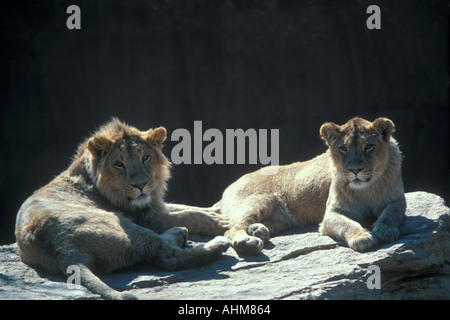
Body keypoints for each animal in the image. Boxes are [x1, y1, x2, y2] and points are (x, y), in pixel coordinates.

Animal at [15, 118, 230, 300]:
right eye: (119, 164)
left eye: (145, 158)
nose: (141, 185)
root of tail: (61, 247)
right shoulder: (149, 218)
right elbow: (192, 215)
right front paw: (223, 222)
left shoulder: (155, 205)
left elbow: (186, 207)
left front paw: (216, 210)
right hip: (122, 225)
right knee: (168, 256)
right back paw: (215, 243)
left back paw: (180, 233)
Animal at [171, 117, 406, 255]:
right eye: (343, 149)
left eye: (369, 147)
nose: (355, 170)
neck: (366, 188)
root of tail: (227, 189)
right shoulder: (331, 214)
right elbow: (347, 224)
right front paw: (362, 237)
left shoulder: (397, 199)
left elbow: (392, 213)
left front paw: (385, 230)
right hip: (260, 199)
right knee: (231, 228)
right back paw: (248, 241)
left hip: (278, 220)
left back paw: (258, 231)